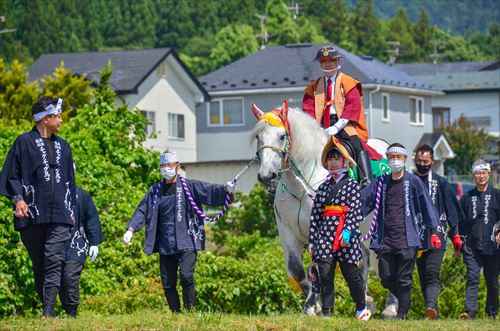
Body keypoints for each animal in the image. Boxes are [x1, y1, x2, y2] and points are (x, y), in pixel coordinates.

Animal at [250, 102, 386, 316]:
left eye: (282, 136)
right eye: (258, 137)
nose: (266, 176)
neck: (301, 185)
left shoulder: (319, 229)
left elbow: (316, 266)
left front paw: (310, 306)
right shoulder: (287, 231)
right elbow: (297, 269)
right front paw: (317, 304)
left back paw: (391, 308)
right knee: (364, 258)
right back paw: (366, 301)